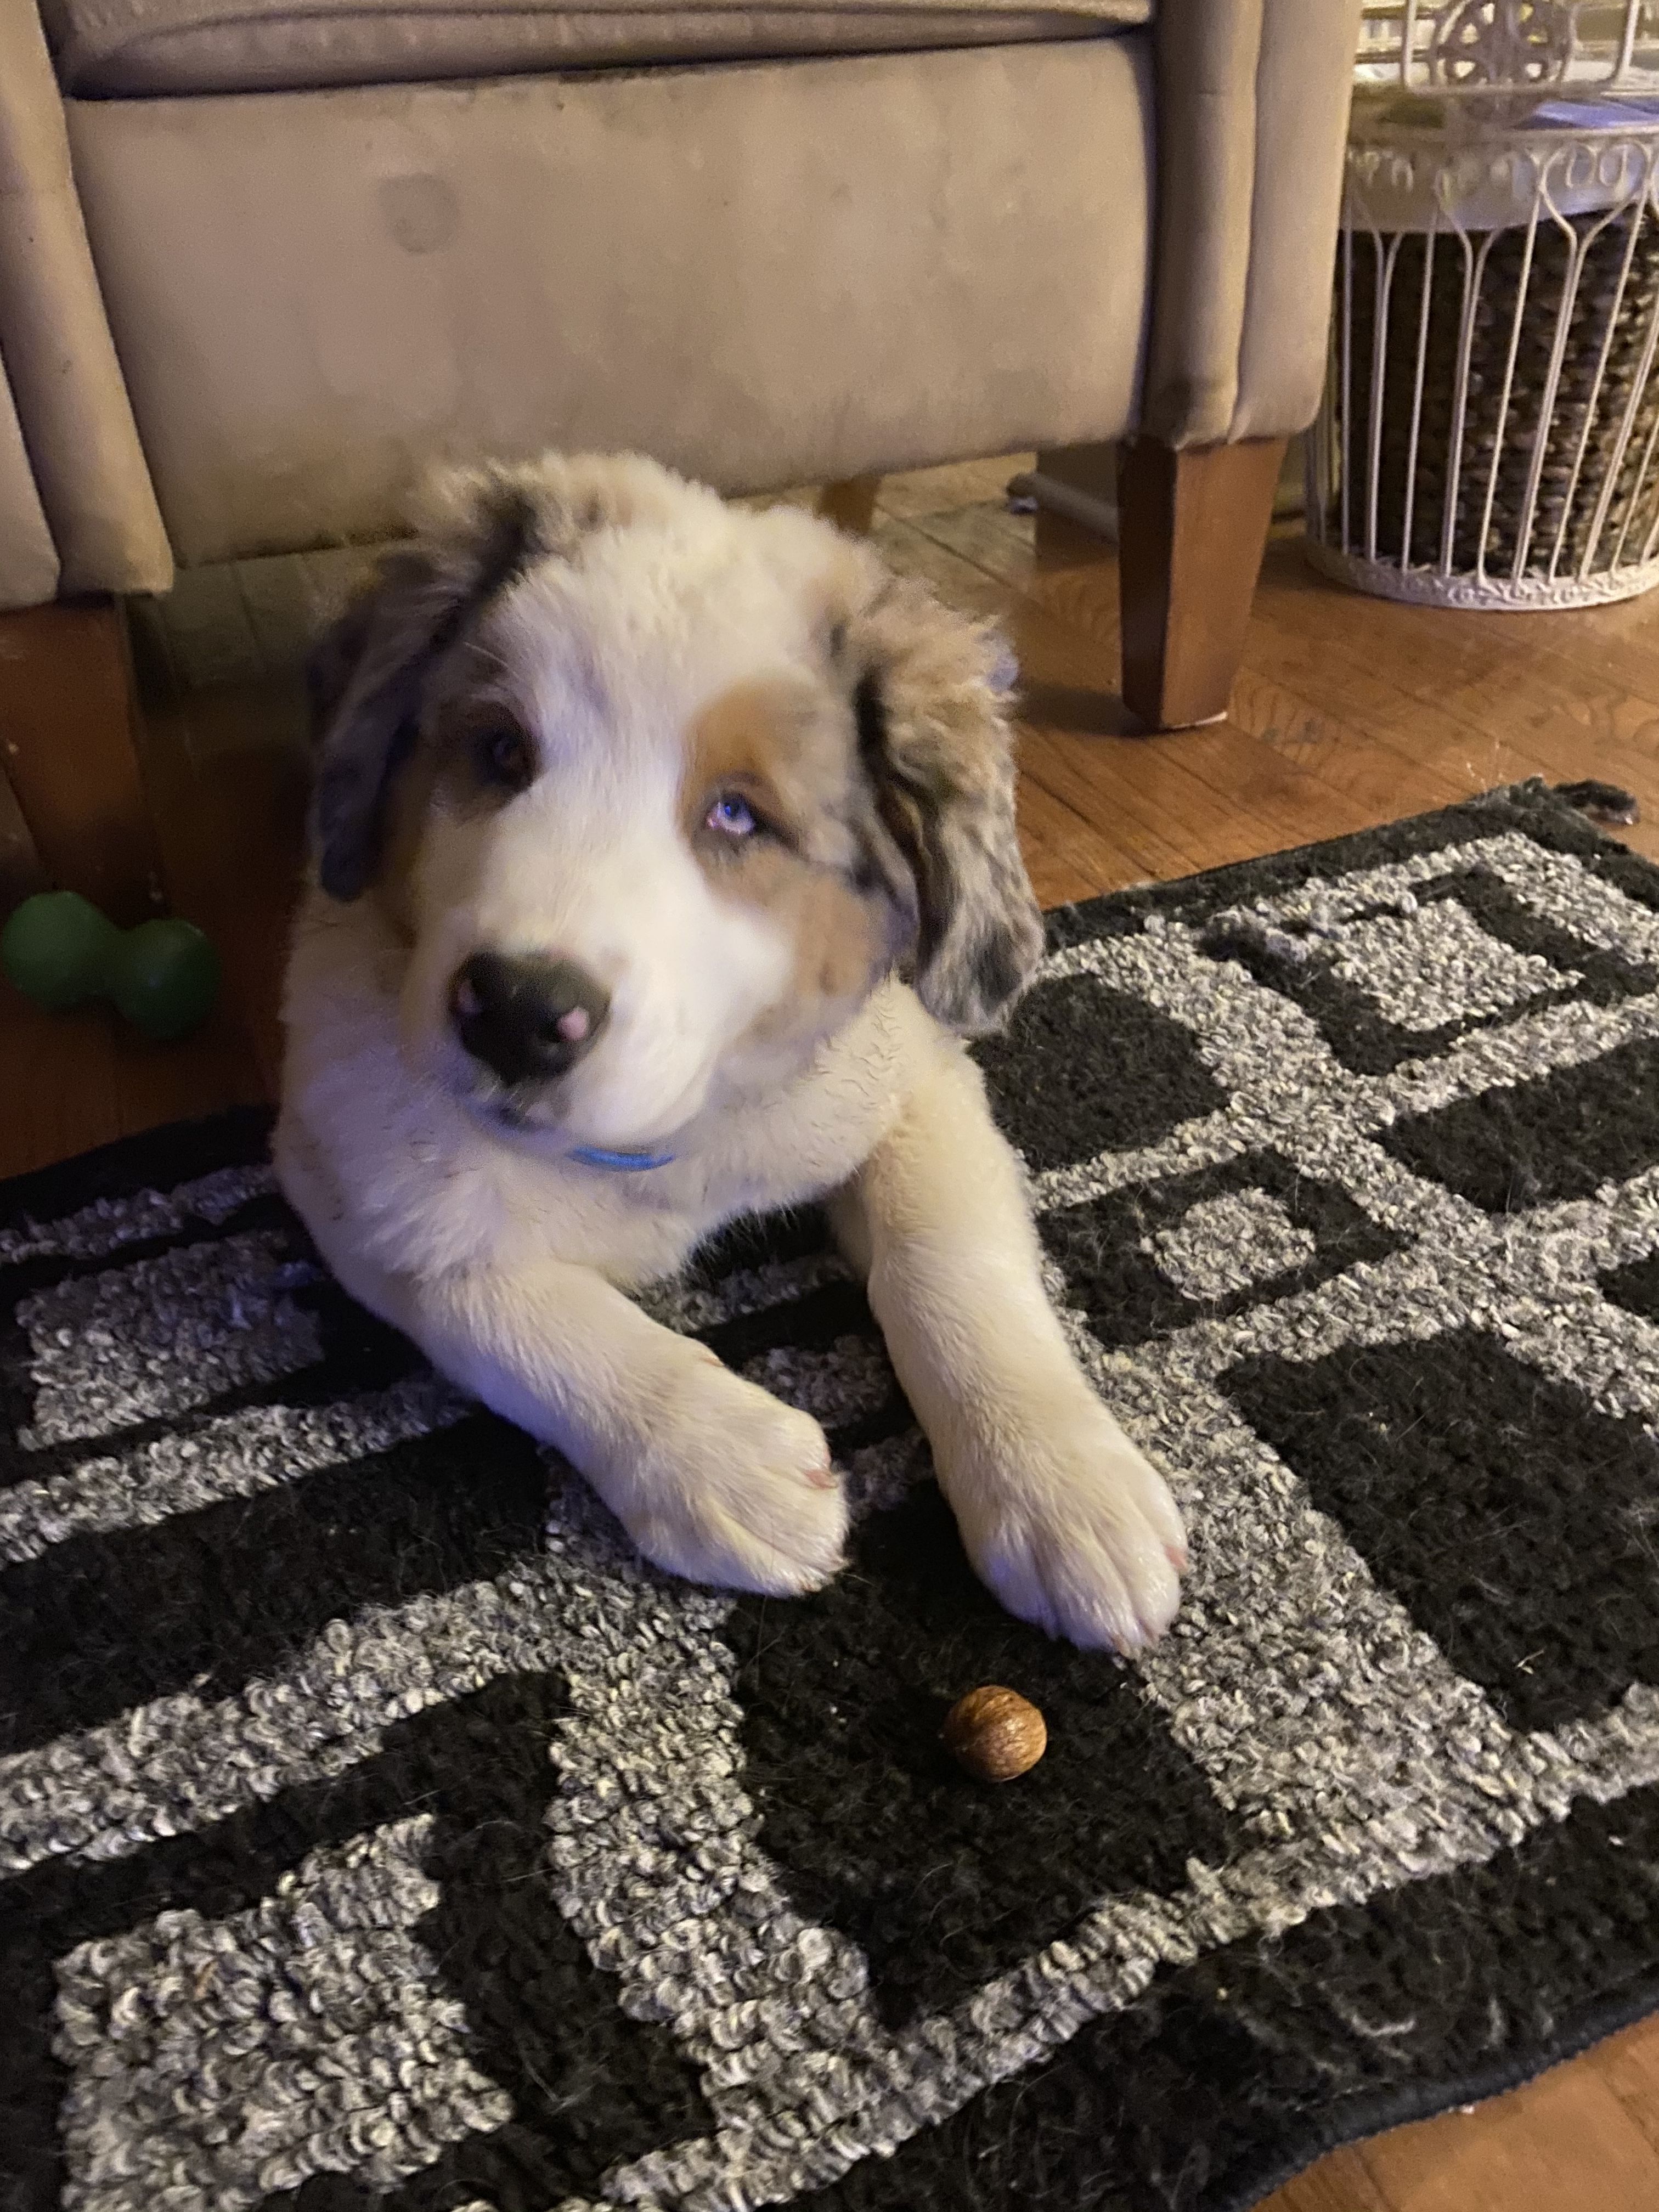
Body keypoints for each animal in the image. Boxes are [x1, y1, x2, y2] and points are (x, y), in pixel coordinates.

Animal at [275, 452, 1186, 1650]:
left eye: (738, 816)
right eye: (499, 750)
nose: (517, 1010)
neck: (677, 1128)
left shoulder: (916, 1077)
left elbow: (947, 1259)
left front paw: (1062, 1487)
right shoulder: (359, 1172)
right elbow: (509, 1307)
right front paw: (721, 1462)